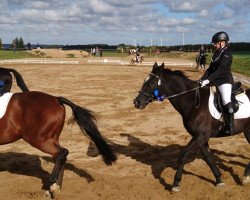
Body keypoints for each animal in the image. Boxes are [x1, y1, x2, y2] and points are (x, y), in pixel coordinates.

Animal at [134, 62, 249, 192]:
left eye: (152, 82)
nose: (137, 102)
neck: (193, 102)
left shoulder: (201, 136)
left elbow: (183, 155)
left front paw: (176, 183)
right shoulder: (201, 138)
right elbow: (208, 157)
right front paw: (219, 179)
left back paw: (245, 177)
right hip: (247, 130)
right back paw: (246, 176)